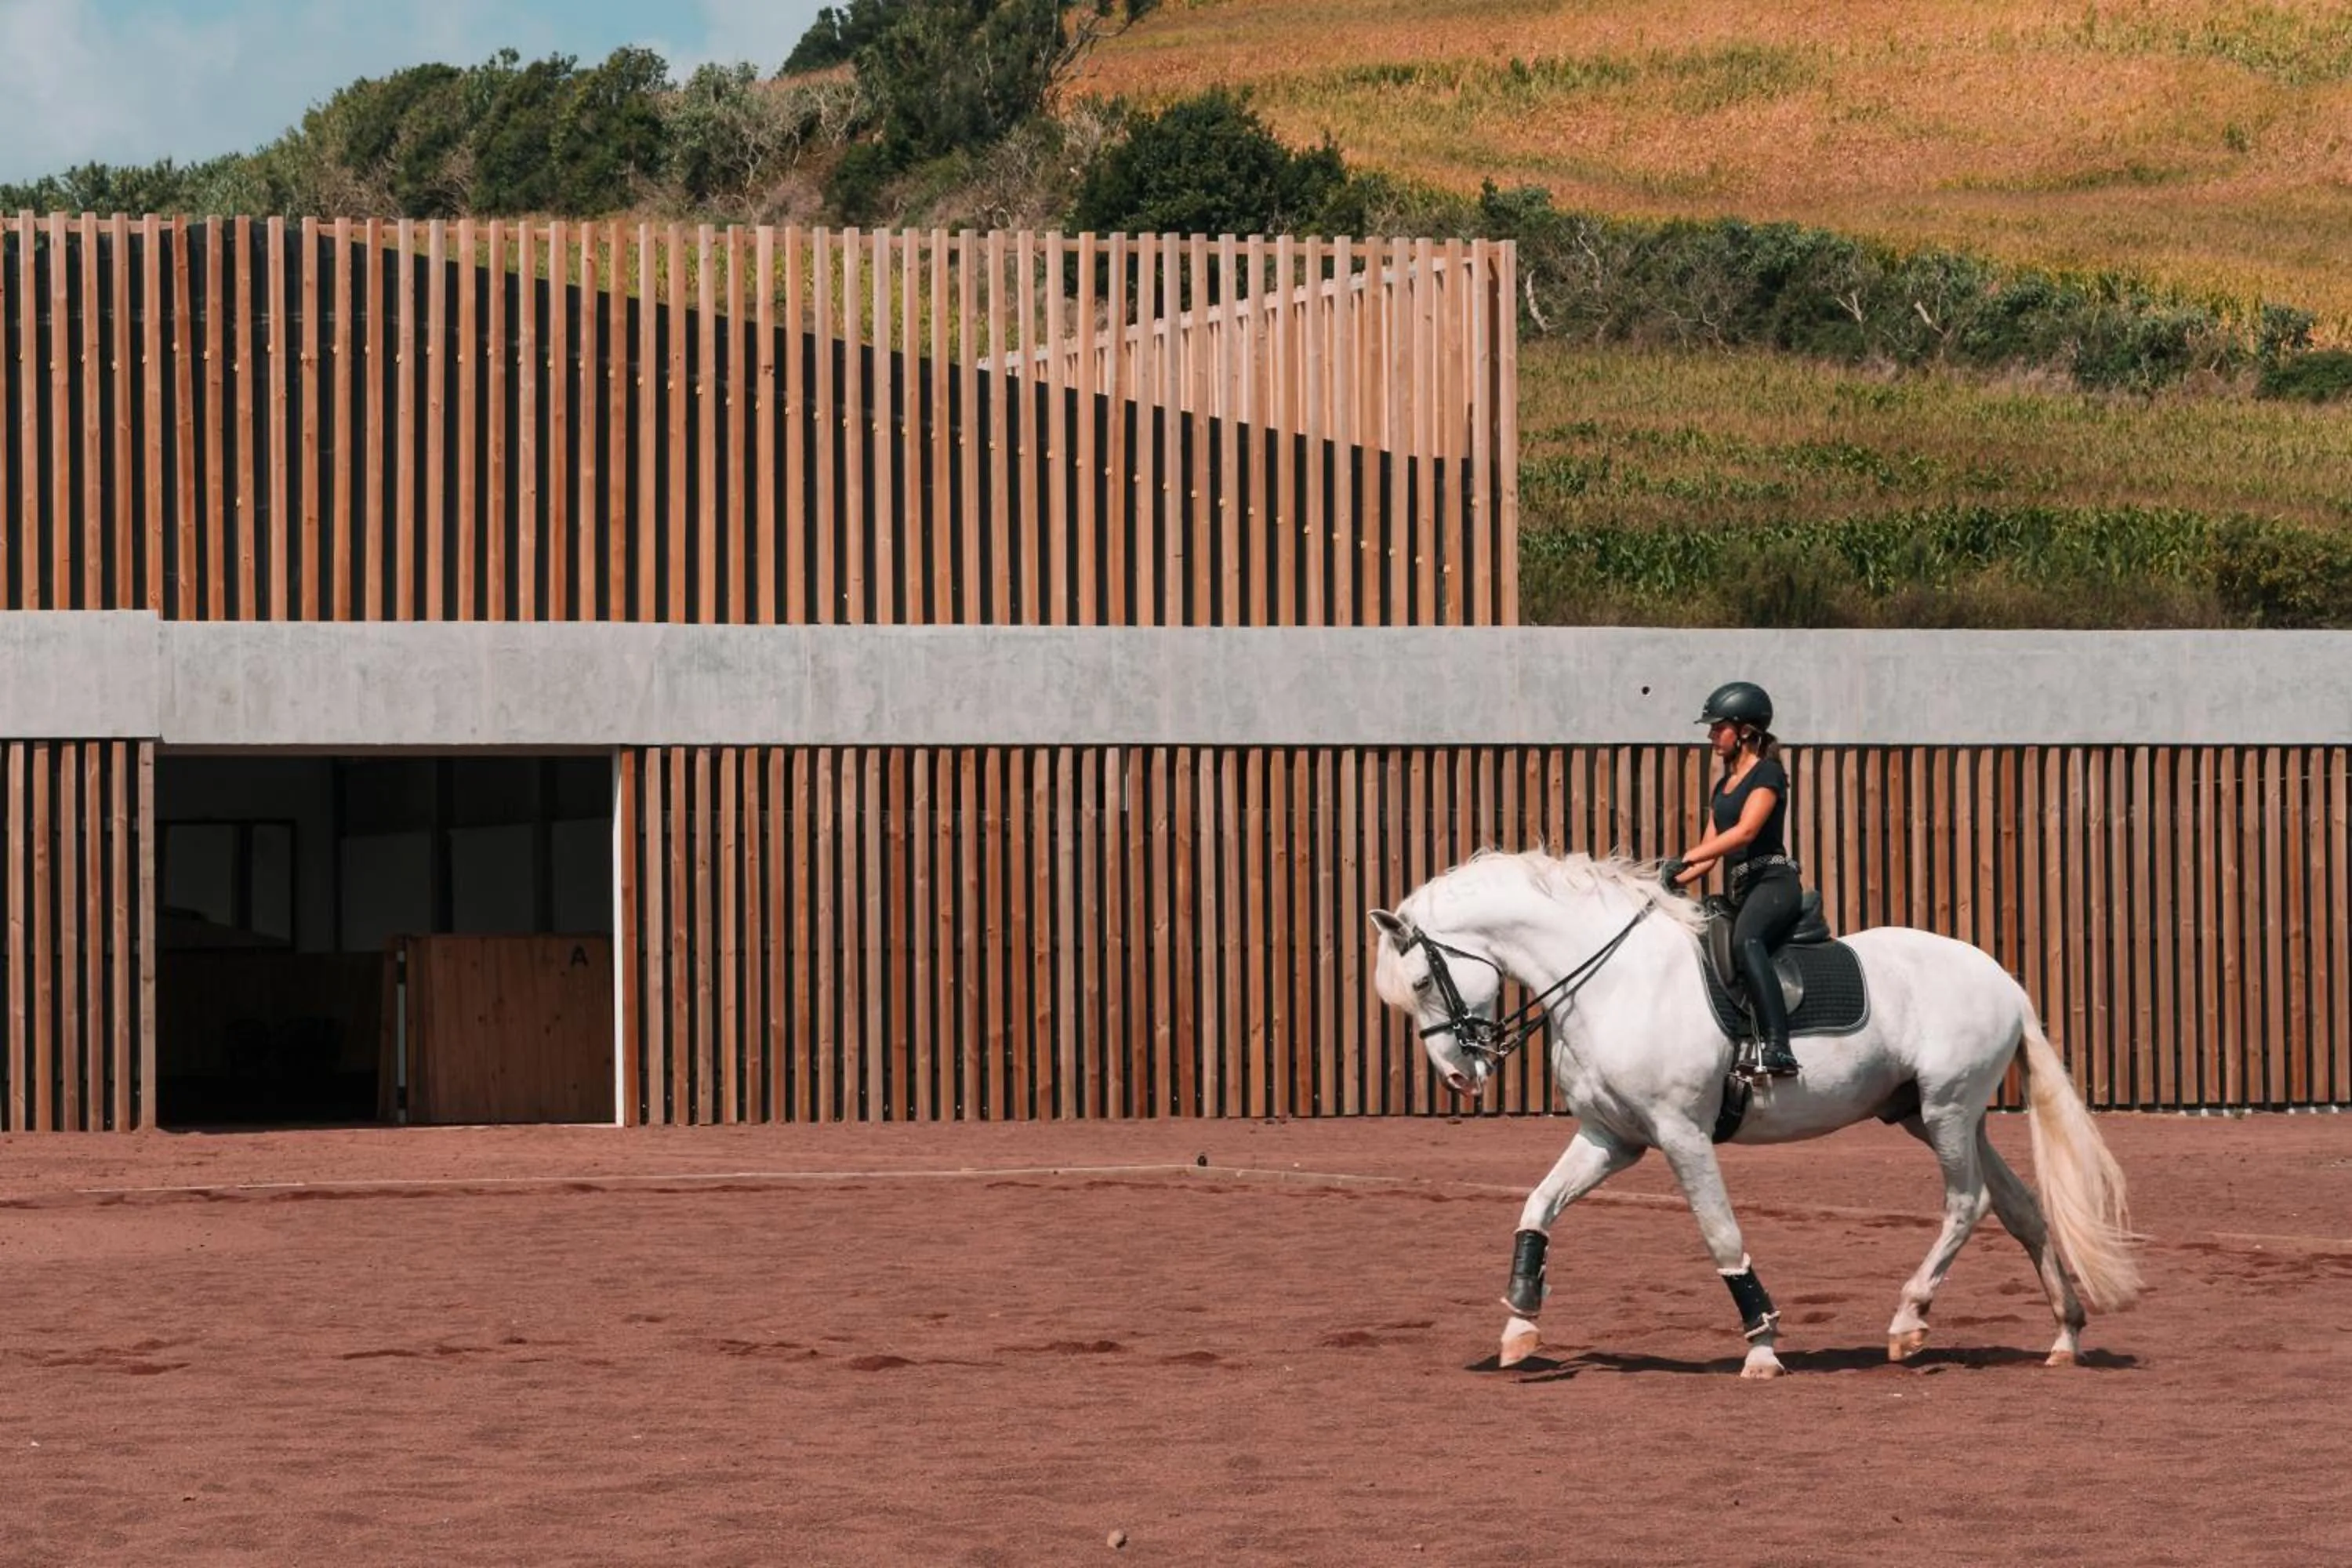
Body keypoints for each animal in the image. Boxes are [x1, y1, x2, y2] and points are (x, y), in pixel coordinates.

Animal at [1368, 848, 2142, 1379]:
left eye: (1421, 981)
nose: (1461, 1076)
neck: (1612, 979)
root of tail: (2005, 981)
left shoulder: (1681, 1134)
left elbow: (1720, 1234)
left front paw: (1763, 1343)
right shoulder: (1611, 1137)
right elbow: (1537, 1206)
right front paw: (1520, 1321)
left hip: (1949, 1108)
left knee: (1967, 1202)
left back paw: (1909, 1319)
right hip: (1933, 1114)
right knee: (2020, 1208)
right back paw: (2065, 1336)